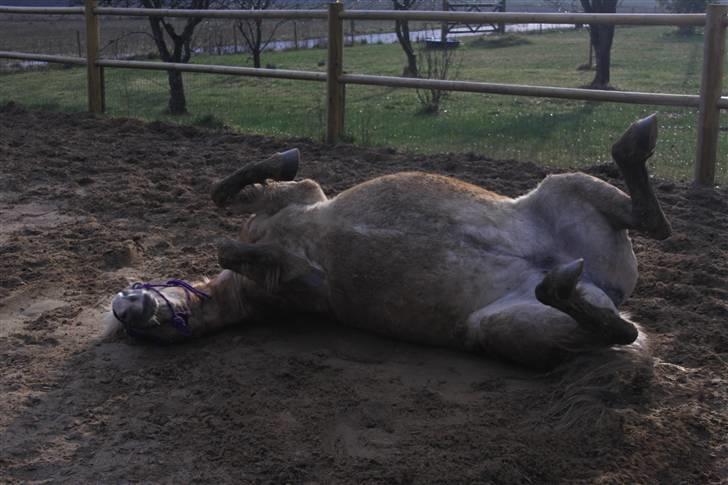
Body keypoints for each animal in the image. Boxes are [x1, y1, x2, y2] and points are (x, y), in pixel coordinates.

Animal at [108, 115, 672, 368]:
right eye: (143, 334)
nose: (126, 307)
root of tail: (602, 285)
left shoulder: (300, 196)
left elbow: (230, 191)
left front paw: (283, 158)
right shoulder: (305, 282)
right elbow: (236, 247)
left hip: (564, 187)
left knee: (652, 224)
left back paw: (636, 140)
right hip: (504, 327)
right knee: (616, 327)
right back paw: (561, 284)